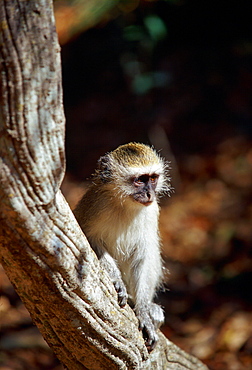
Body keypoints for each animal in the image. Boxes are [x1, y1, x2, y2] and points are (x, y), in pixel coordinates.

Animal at [73, 142, 171, 350]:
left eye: (152, 178)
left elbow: (144, 256)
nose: (150, 194)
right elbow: (90, 241)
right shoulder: (96, 207)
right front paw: (116, 280)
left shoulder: (152, 210)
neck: (126, 204)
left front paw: (143, 310)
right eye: (140, 180)